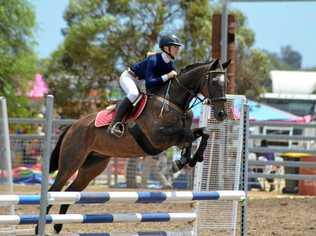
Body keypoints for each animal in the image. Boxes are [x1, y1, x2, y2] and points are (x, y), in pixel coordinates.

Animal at [38, 58, 228, 233]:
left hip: (92, 167)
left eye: (225, 83)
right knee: (55, 190)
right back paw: (41, 225)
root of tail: (73, 125)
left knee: (70, 192)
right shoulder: (157, 138)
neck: (171, 102)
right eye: (213, 82)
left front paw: (189, 159)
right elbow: (187, 135)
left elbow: (202, 133)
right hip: (71, 163)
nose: (221, 114)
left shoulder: (176, 135)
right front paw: (180, 163)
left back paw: (58, 226)